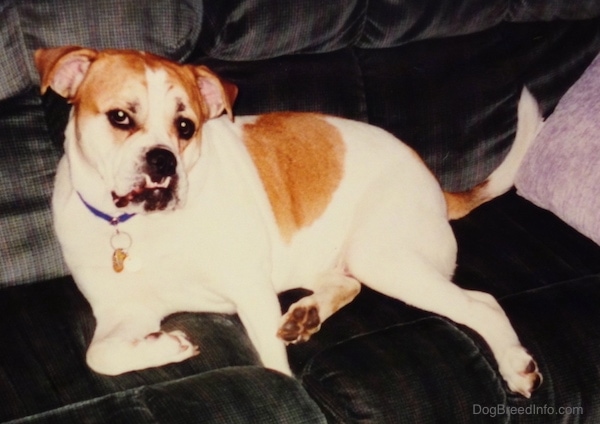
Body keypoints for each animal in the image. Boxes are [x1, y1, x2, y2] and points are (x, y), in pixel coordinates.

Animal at [37, 47, 544, 398]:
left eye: (186, 126)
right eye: (120, 117)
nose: (164, 161)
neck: (140, 225)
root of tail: (437, 185)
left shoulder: (250, 290)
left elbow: (274, 367)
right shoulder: (123, 312)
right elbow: (99, 356)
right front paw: (168, 346)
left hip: (383, 257)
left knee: (482, 304)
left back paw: (515, 364)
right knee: (348, 283)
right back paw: (306, 314)